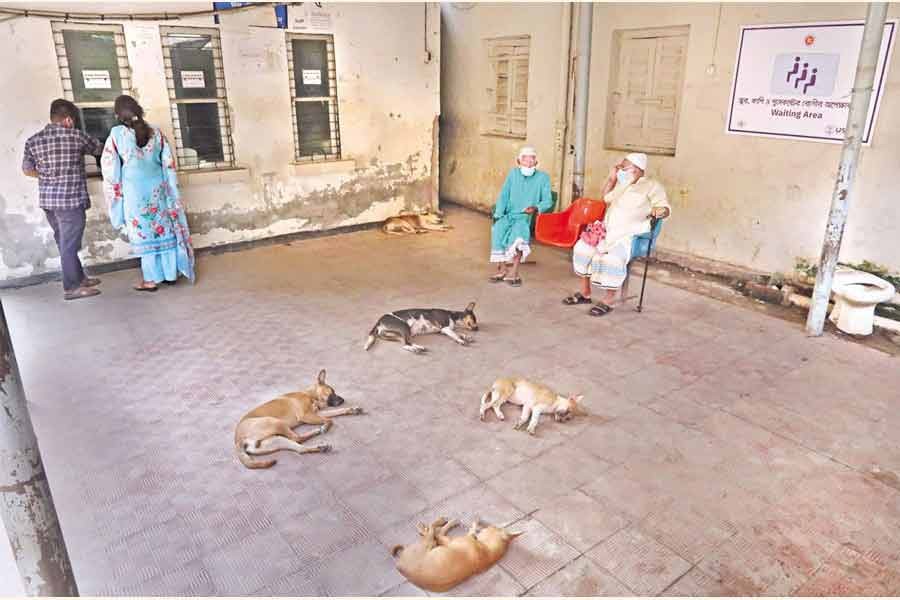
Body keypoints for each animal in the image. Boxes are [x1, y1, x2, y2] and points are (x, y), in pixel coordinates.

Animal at [234, 370, 364, 468]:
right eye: (332, 391)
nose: (343, 400)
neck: (311, 396)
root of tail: (237, 439)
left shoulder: (317, 413)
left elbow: (336, 412)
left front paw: (352, 409)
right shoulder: (306, 415)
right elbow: (329, 420)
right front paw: (325, 427)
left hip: (276, 440)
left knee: (300, 448)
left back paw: (321, 446)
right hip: (275, 422)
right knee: (297, 438)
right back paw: (317, 432)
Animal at [390, 512, 524, 592]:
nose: (487, 524)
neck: (487, 550)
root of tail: (400, 565)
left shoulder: (446, 540)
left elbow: (441, 531)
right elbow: (471, 531)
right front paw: (476, 524)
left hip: (427, 544)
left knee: (431, 532)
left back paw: (430, 524)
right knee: (430, 533)